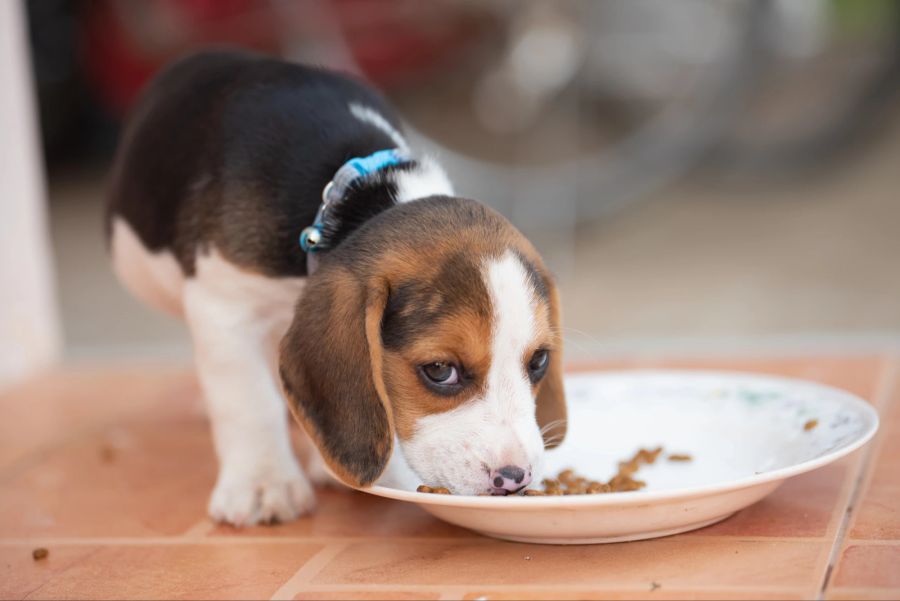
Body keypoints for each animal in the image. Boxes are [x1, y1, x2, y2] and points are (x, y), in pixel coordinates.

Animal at [109, 49, 568, 524]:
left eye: (538, 362)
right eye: (440, 370)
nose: (514, 479)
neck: (346, 199)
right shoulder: (224, 307)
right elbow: (250, 401)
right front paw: (263, 485)